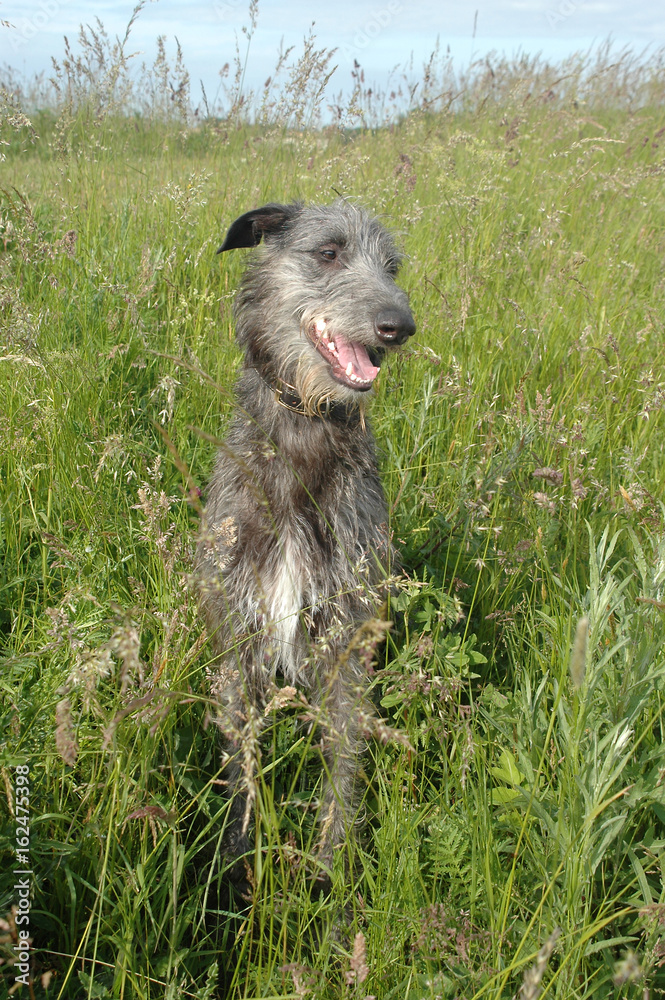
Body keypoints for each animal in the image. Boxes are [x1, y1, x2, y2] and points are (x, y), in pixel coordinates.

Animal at [196, 201, 416, 876]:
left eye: (392, 267)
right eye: (328, 253)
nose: (400, 326)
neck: (305, 429)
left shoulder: (346, 630)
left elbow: (343, 761)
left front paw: (332, 870)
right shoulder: (240, 633)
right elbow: (240, 760)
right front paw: (238, 861)